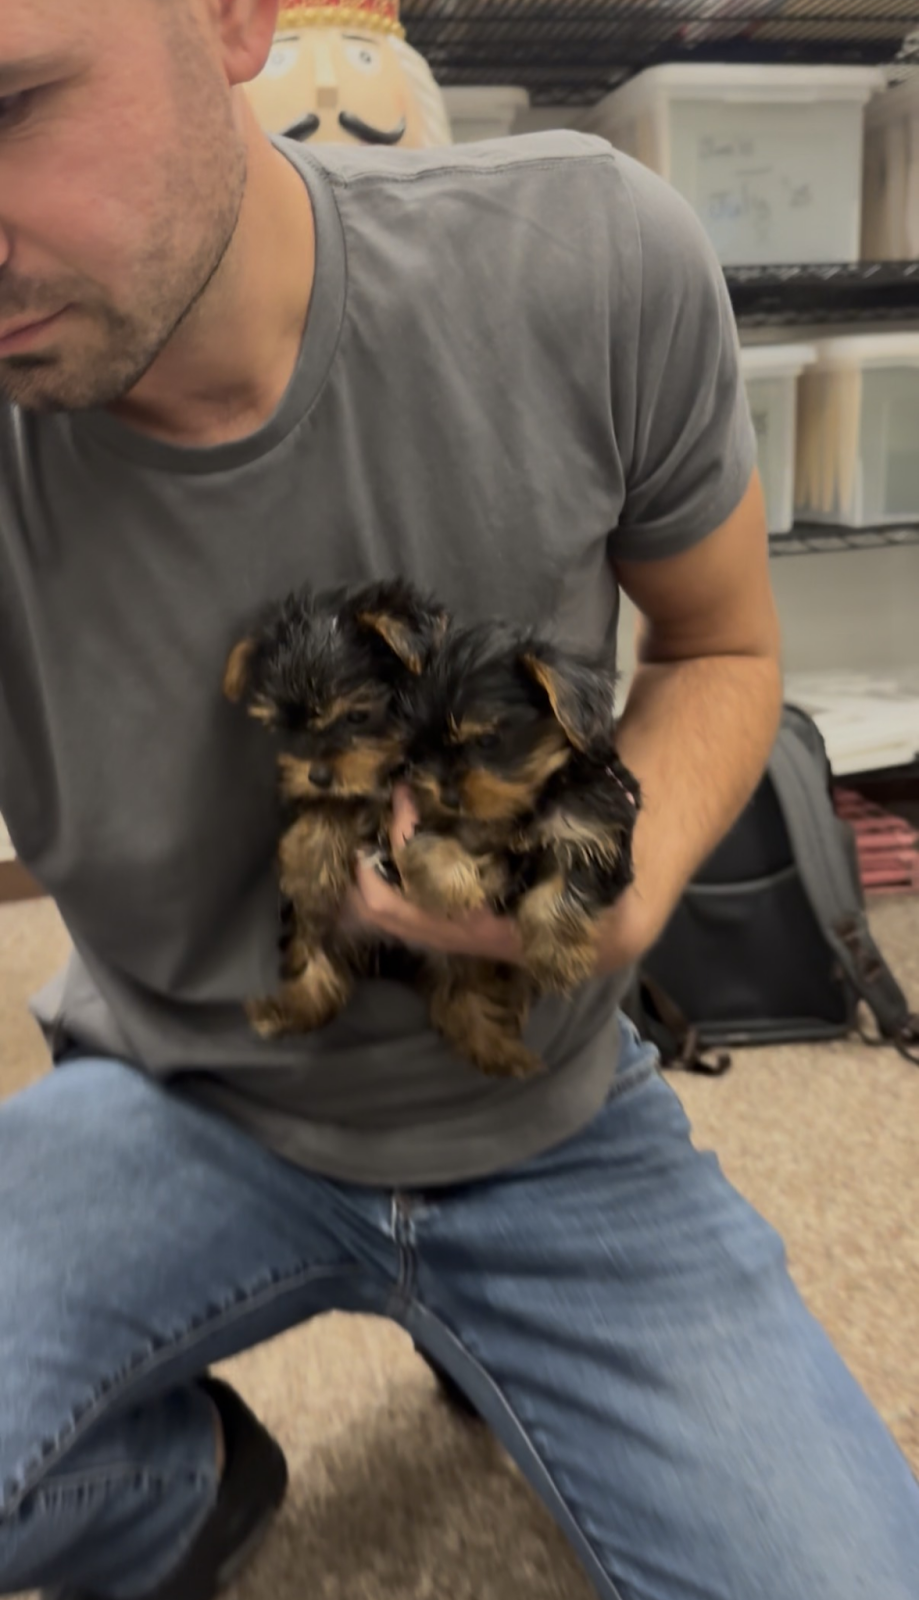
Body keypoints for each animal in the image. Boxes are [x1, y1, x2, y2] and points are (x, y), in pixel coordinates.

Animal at [223, 577, 448, 1039]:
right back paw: (288, 1003)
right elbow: (326, 812)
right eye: (287, 727)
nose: (318, 774)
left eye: (357, 716)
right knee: (312, 951)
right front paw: (311, 869)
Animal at [392, 620, 640, 1079]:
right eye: (419, 750)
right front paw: (451, 883)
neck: (526, 803)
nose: (446, 796)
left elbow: (564, 888)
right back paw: (501, 1050)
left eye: (487, 740)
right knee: (460, 1002)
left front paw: (556, 954)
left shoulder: (596, 828)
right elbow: (430, 849)